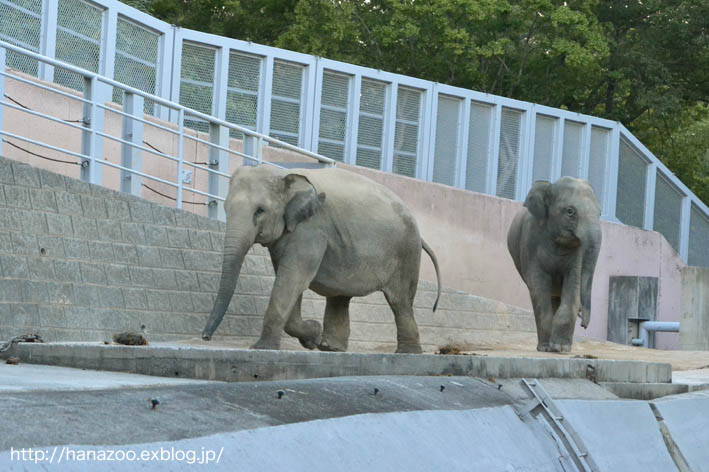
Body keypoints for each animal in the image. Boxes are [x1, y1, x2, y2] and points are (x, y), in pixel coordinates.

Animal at [199, 164, 440, 352]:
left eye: (260, 211)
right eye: (225, 208)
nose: (205, 337)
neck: (285, 174)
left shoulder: (311, 229)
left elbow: (293, 278)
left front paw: (263, 348)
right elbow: (289, 279)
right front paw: (312, 336)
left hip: (406, 252)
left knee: (400, 302)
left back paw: (407, 352)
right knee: (340, 298)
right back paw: (330, 347)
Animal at [506, 177, 600, 350]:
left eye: (600, 213)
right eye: (570, 211)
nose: (584, 325)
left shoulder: (577, 255)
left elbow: (573, 287)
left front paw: (560, 348)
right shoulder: (530, 244)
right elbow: (538, 288)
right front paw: (545, 348)